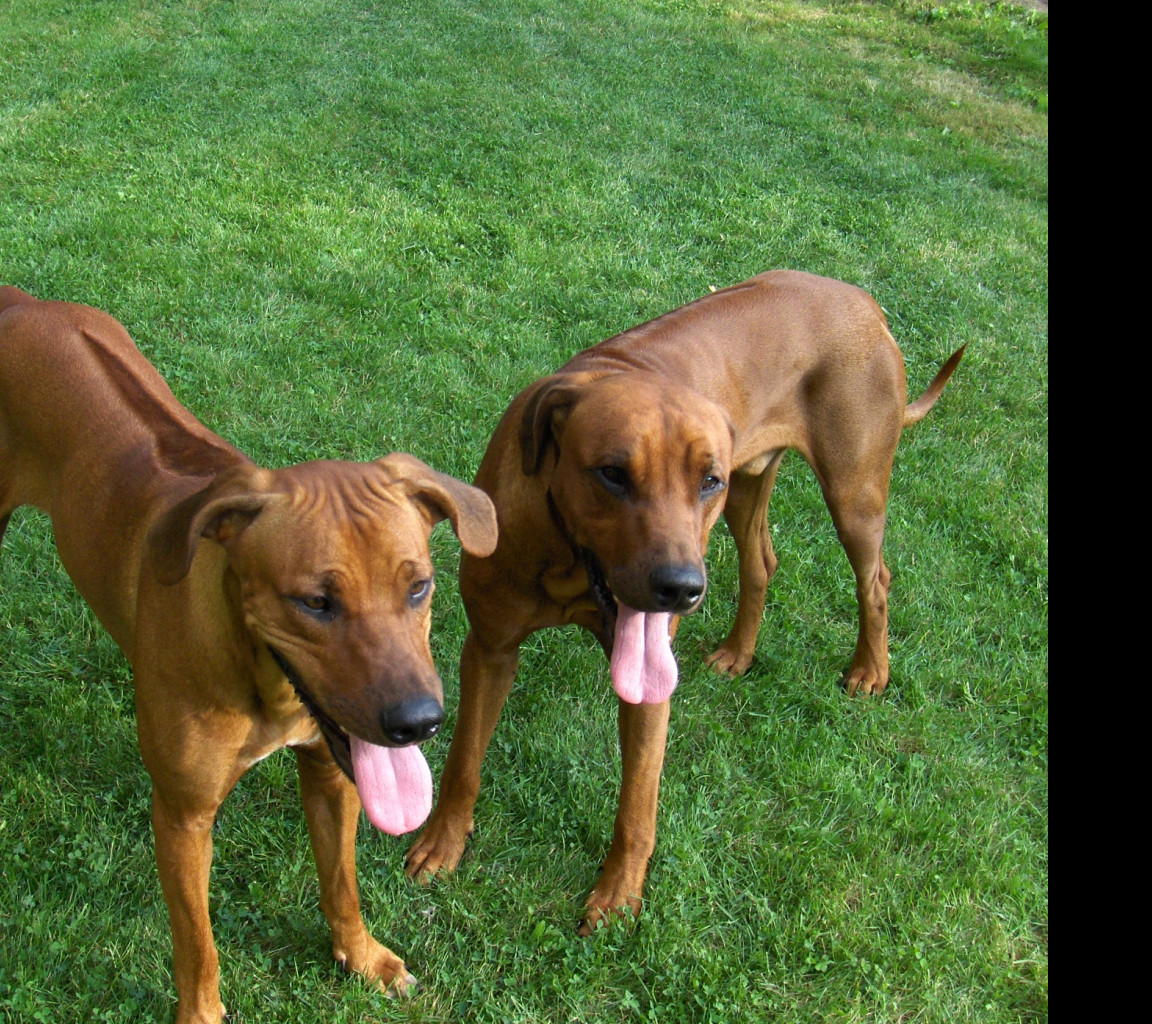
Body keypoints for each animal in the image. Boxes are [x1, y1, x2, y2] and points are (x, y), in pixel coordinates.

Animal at [0, 283, 495, 1018]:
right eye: (315, 603)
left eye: (420, 586)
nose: (419, 723)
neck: (267, 683)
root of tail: (22, 302)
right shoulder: (182, 816)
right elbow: (196, 943)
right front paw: (200, 1013)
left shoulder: (332, 771)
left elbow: (341, 881)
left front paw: (362, 956)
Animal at [405, 269, 963, 935]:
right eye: (613, 473)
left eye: (705, 481)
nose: (681, 589)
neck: (566, 560)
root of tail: (863, 300)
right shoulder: (490, 646)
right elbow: (464, 760)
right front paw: (444, 842)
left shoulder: (649, 681)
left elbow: (638, 804)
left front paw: (618, 894)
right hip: (753, 487)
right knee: (761, 563)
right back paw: (739, 652)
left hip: (849, 489)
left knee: (874, 578)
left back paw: (870, 669)